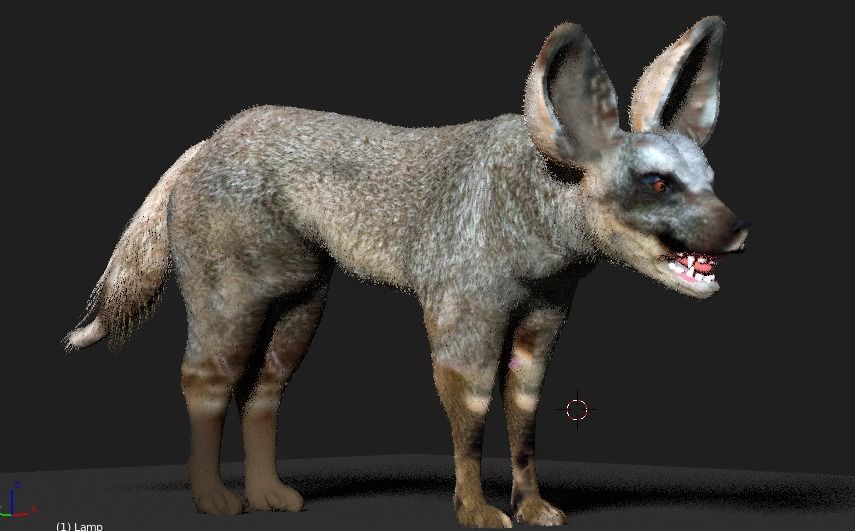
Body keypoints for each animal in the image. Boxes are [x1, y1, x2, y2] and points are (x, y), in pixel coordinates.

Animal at [65, 16, 748, 528]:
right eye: (656, 183)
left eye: (709, 180)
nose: (739, 230)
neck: (537, 219)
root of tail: (204, 145)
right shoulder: (460, 316)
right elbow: (471, 416)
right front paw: (476, 511)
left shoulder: (543, 319)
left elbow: (524, 418)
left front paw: (533, 507)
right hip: (229, 300)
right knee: (205, 378)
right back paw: (213, 499)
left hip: (301, 303)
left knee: (262, 389)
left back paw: (270, 496)